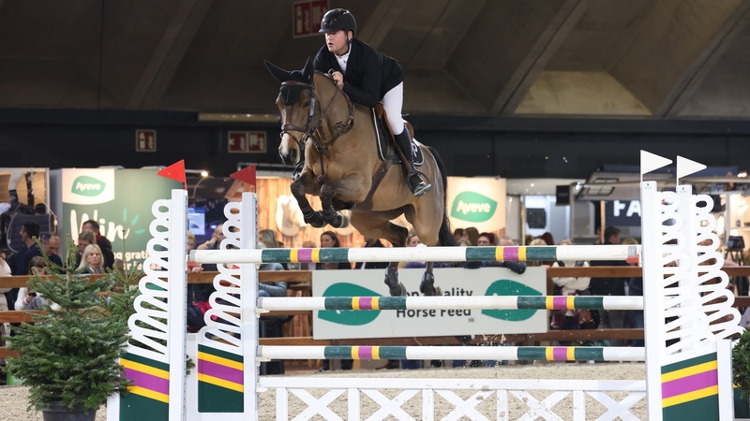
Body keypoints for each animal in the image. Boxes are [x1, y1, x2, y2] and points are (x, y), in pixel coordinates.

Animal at [268, 58, 456, 296]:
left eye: (304, 103)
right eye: (279, 104)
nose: (287, 154)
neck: (333, 135)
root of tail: (429, 152)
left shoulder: (359, 184)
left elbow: (327, 190)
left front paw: (332, 217)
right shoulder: (313, 178)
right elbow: (297, 188)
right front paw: (315, 217)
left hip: (425, 218)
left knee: (431, 243)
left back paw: (429, 285)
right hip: (368, 215)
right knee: (400, 234)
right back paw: (394, 283)